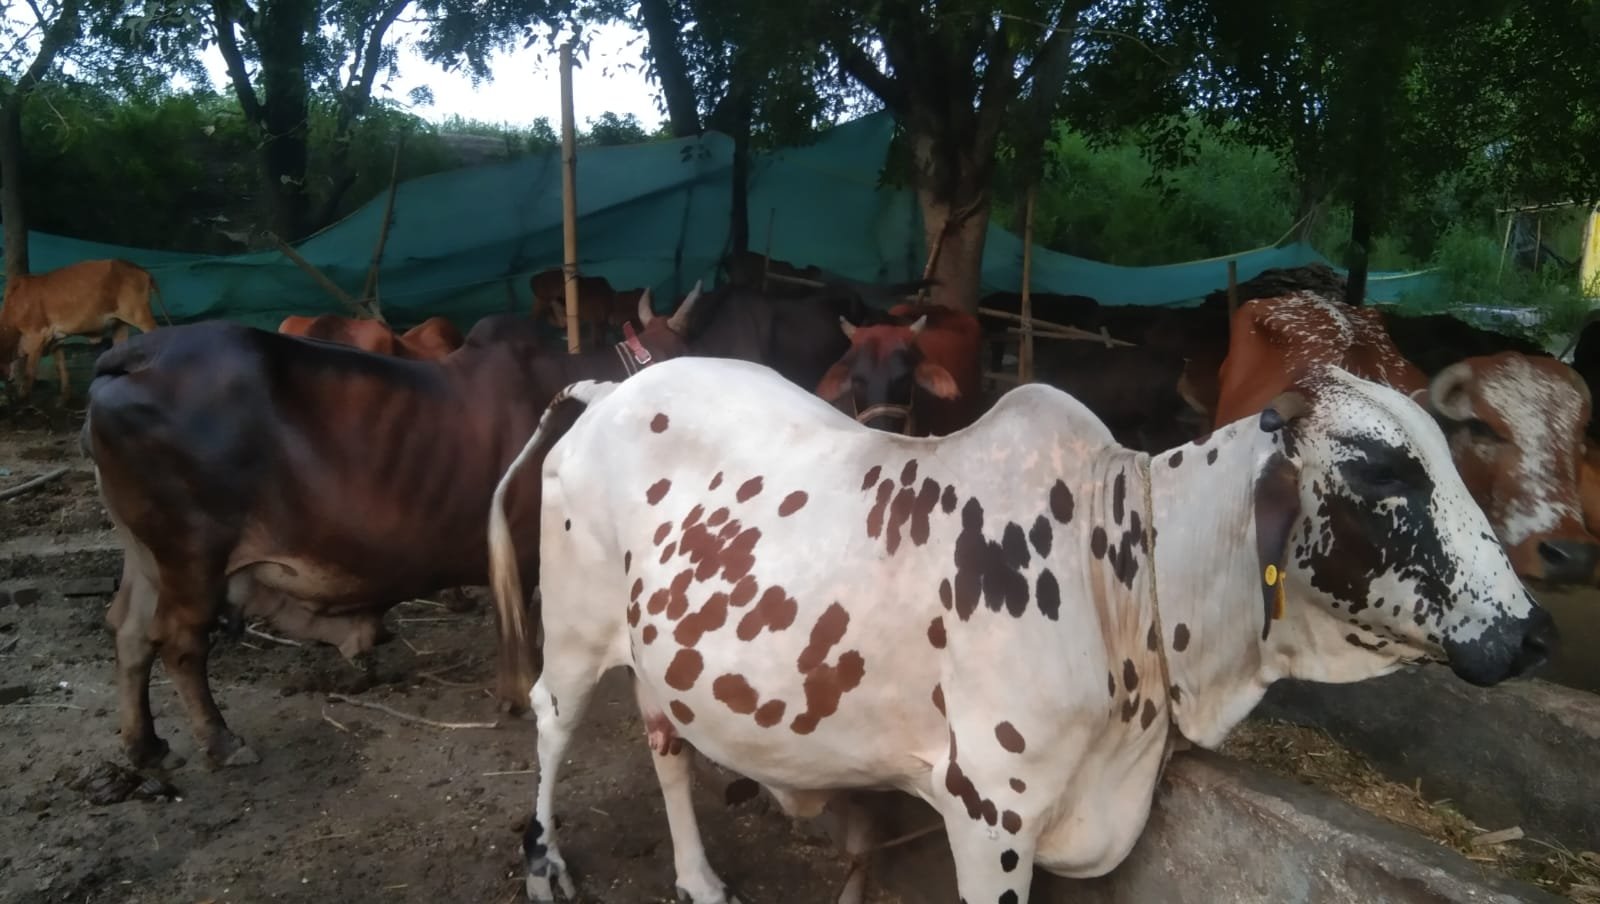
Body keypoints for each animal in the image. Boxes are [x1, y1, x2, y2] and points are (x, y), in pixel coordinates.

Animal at [0, 258, 170, 403]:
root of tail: (139, 269)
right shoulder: (56, 339)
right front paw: (64, 398)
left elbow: (29, 373)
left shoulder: (36, 336)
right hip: (120, 324)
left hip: (139, 315)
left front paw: (22, 400)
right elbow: (61, 367)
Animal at [82, 286, 702, 770]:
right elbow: (524, 622)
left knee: (129, 632)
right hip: (193, 553)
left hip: (147, 555)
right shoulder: (527, 548)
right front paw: (520, 695)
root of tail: (140, 351)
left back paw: (144, 745)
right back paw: (218, 740)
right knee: (179, 643)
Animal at [487, 357, 1554, 904]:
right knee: (551, 719)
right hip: (576, 628)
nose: (1532, 634)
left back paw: (701, 879)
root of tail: (609, 390)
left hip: (660, 656)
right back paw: (544, 864)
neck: (1121, 566)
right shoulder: (988, 812)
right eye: (1382, 470)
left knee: (665, 741)